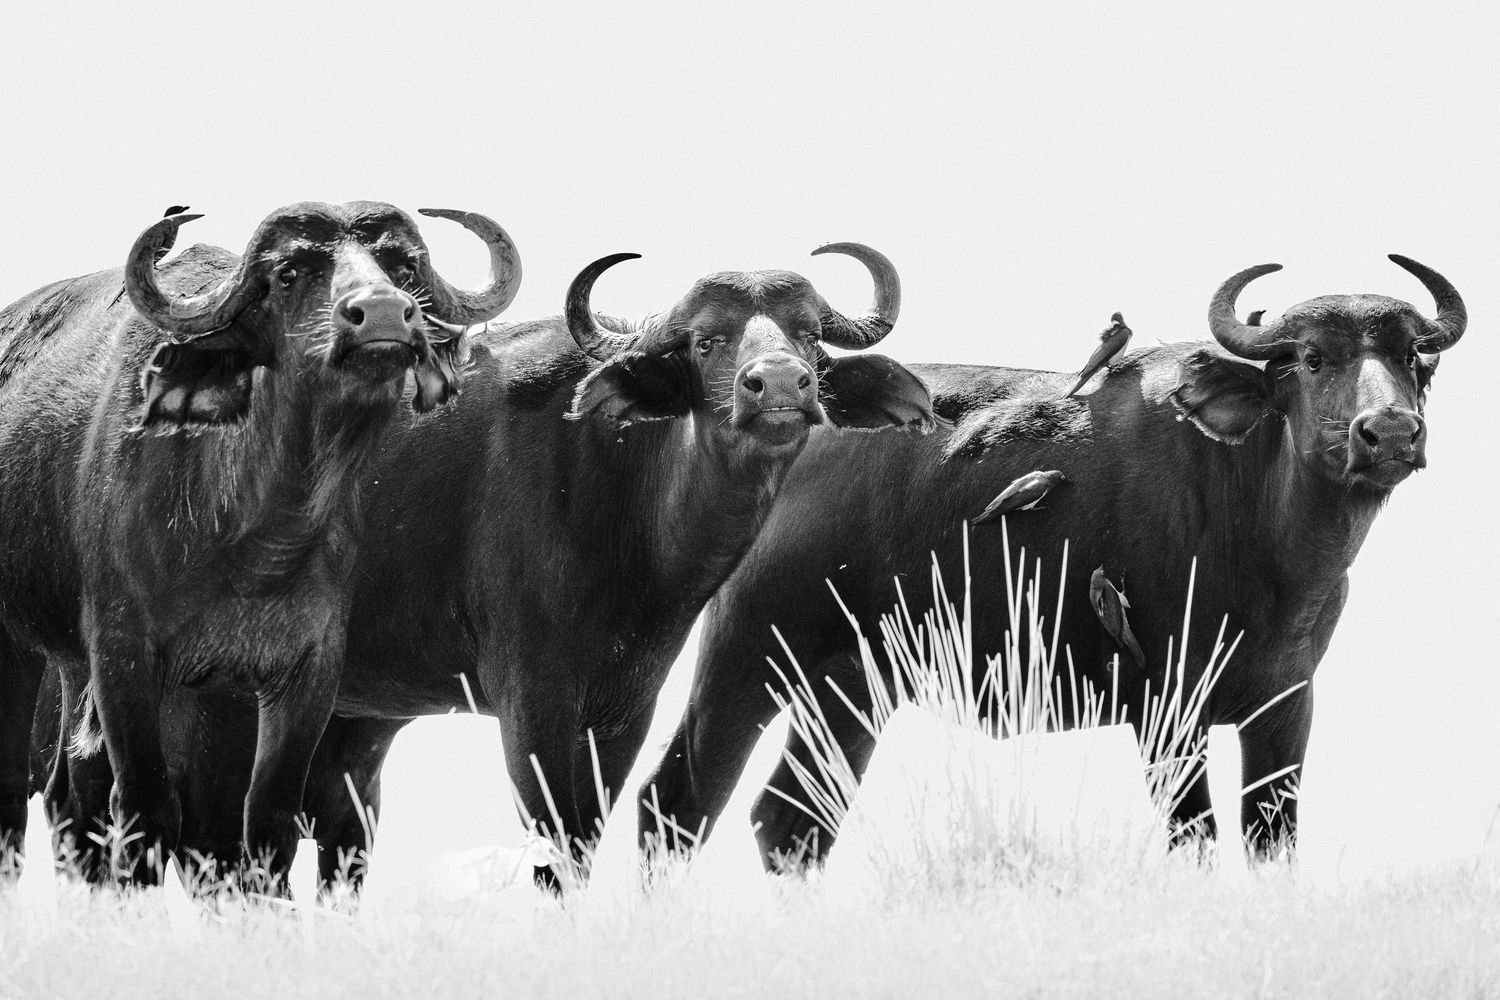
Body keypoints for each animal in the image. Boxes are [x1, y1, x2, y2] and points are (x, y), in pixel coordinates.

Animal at [0, 202, 520, 886]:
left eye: (402, 266)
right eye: (289, 273)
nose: (384, 314)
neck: (252, 541)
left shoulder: (305, 673)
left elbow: (265, 821)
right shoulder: (122, 654)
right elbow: (143, 808)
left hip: (70, 665)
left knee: (69, 794)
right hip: (20, 649)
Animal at [640, 256, 1465, 869]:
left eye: (1413, 361)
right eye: (1313, 358)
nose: (1390, 432)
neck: (1272, 558)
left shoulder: (1286, 707)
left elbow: (1273, 841)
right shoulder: (1166, 713)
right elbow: (1195, 839)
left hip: (853, 687)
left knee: (792, 825)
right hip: (745, 658)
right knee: (675, 803)